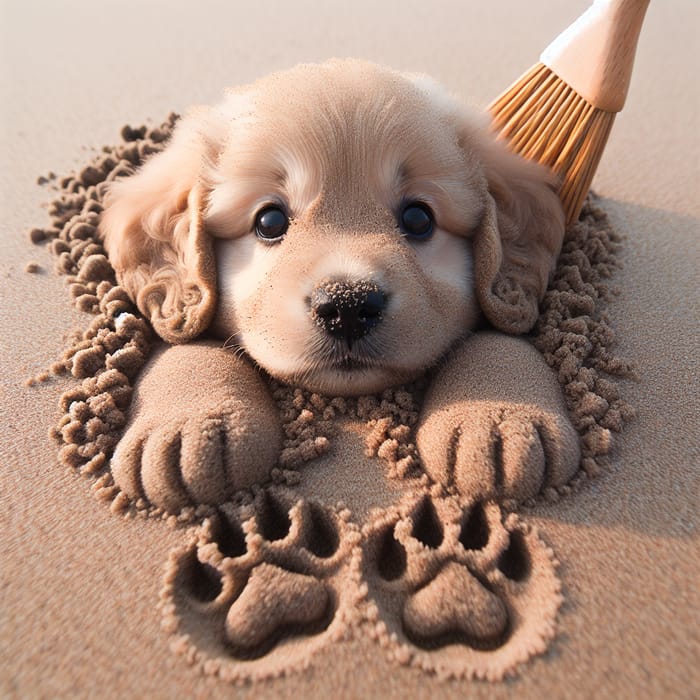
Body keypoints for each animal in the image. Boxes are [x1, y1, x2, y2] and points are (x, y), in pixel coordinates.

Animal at [100, 58, 580, 516]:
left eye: (418, 218)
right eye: (269, 221)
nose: (347, 307)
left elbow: (497, 336)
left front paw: (499, 418)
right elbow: (189, 344)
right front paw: (192, 424)